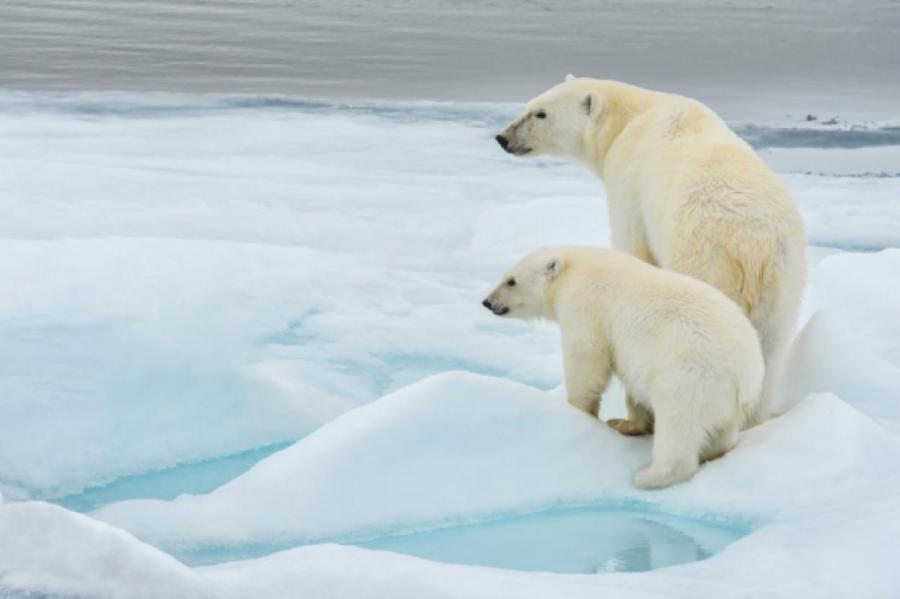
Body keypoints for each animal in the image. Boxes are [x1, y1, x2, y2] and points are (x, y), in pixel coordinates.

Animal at [482, 246, 764, 490]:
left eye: (511, 281)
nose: (487, 302)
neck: (575, 267)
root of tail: (746, 372)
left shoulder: (585, 305)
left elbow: (587, 361)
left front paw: (577, 410)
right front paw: (625, 423)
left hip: (691, 375)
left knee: (678, 423)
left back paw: (650, 476)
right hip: (730, 401)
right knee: (721, 430)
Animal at [496, 77, 804, 428]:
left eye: (541, 113)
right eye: (529, 105)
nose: (503, 137)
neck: (634, 115)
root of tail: (752, 246)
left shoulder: (629, 182)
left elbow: (632, 247)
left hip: (705, 259)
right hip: (784, 281)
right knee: (771, 352)